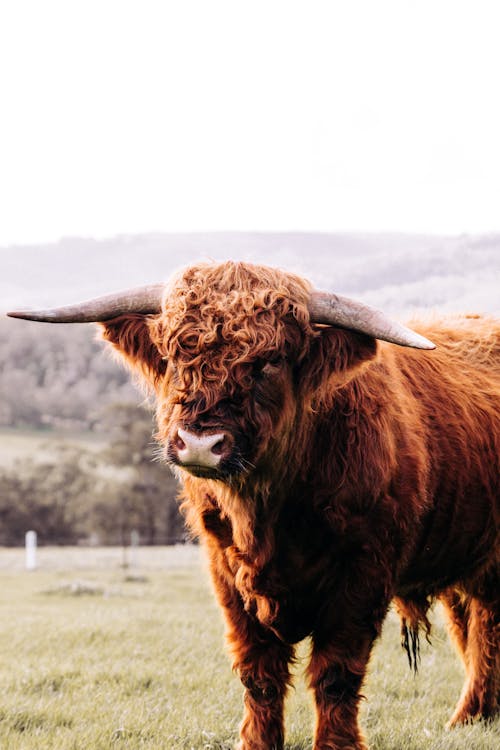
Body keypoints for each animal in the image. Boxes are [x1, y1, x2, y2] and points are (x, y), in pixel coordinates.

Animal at [8, 262, 500, 748]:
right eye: (173, 355)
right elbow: (258, 673)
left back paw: (470, 716)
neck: (267, 515)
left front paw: (335, 744)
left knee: (487, 629)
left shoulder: (362, 574)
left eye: (269, 362)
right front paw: (259, 742)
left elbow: (336, 674)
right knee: (470, 628)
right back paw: (471, 718)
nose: (200, 443)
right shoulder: (226, 572)